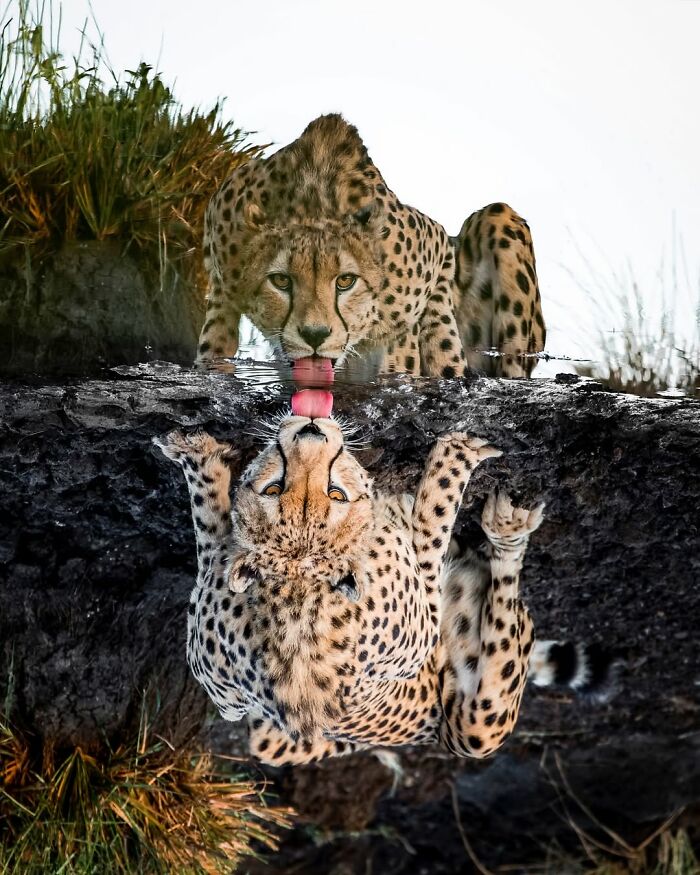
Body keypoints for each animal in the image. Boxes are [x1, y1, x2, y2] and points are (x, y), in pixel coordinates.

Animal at [152, 415, 591, 767]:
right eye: (274, 489)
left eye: (335, 494)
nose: (311, 429)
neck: (299, 579)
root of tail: (427, 733)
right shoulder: (421, 626)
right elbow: (432, 520)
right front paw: (456, 455)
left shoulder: (222, 684)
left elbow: (211, 536)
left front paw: (198, 457)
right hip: (478, 729)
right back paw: (507, 527)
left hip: (271, 743)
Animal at [195, 113, 545, 380]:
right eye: (280, 280)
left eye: (346, 281)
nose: (315, 335)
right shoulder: (221, 250)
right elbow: (215, 336)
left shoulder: (435, 244)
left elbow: (423, 334)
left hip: (498, 216)